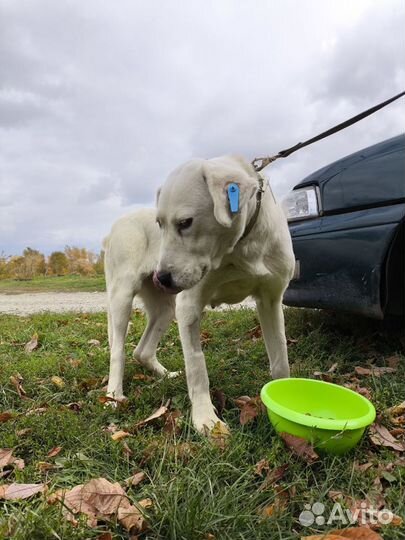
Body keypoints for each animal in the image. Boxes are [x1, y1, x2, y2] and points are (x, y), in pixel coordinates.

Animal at [104, 154, 294, 432]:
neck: (241, 247)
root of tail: (114, 228)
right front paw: (206, 419)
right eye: (159, 225)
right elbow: (196, 365)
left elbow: (280, 358)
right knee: (117, 351)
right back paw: (113, 395)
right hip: (122, 297)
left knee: (142, 351)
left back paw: (166, 375)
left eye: (185, 223)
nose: (161, 278)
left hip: (165, 309)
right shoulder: (188, 307)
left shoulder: (271, 300)